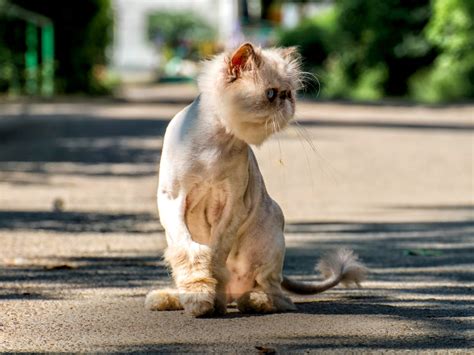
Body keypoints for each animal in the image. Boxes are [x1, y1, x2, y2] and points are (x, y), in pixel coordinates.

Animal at [144, 42, 366, 318]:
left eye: (290, 94)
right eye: (271, 94)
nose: (287, 102)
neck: (216, 142)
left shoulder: (233, 205)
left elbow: (215, 257)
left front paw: (211, 301)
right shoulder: (173, 198)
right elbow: (190, 253)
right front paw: (199, 298)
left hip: (270, 238)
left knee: (276, 296)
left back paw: (250, 301)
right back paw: (166, 298)